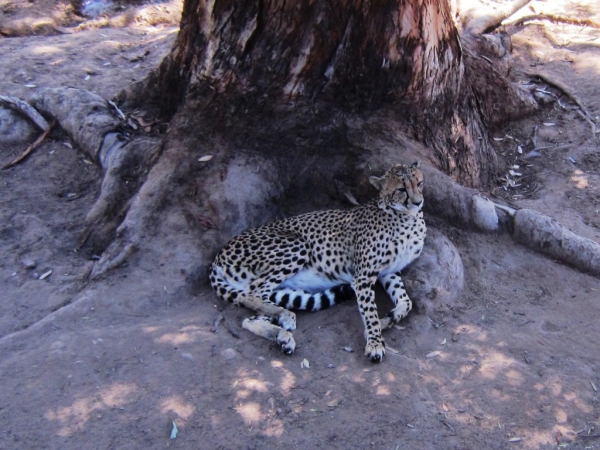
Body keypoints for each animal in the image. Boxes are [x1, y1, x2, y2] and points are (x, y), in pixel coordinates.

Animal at [211, 162, 426, 362]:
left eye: (419, 184)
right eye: (402, 189)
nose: (418, 202)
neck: (407, 217)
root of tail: (217, 257)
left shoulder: (389, 272)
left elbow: (406, 302)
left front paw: (385, 322)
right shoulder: (363, 276)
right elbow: (370, 312)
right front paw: (374, 342)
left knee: (249, 318)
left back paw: (282, 336)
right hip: (297, 245)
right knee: (250, 295)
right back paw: (285, 317)